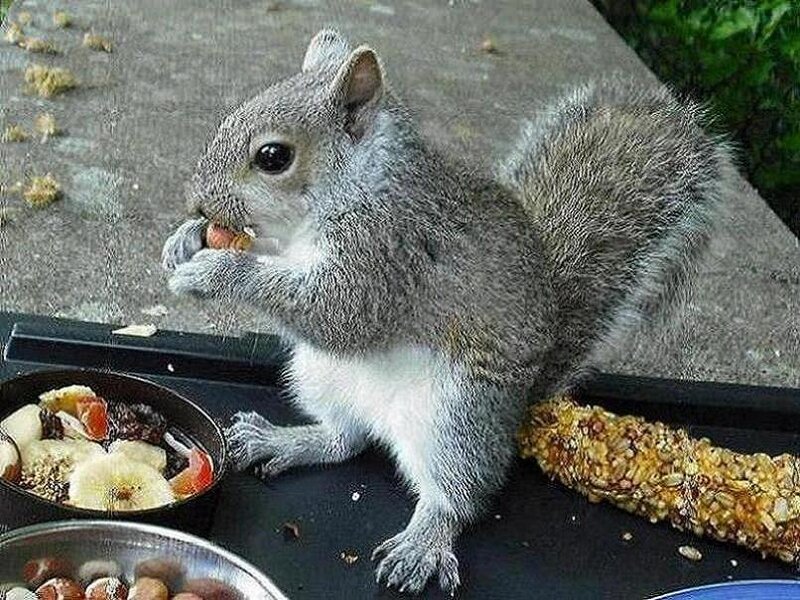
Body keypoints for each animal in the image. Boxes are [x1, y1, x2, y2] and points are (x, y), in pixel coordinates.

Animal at [162, 29, 734, 596]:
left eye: (273, 156)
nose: (196, 203)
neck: (356, 187)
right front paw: (184, 241)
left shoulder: (389, 253)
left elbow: (339, 314)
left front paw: (219, 272)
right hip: (321, 377)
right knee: (344, 440)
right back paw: (280, 439)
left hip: (456, 416)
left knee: (456, 497)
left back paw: (424, 543)